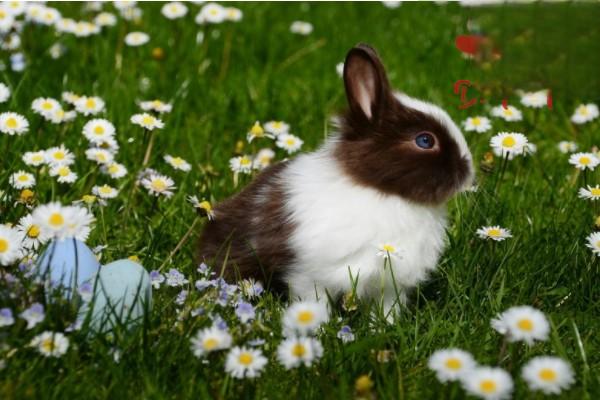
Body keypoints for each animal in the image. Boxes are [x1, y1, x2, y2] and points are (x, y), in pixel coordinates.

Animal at [199, 43, 476, 318]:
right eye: (425, 140)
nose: (468, 172)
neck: (380, 191)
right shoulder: (309, 276)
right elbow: (313, 303)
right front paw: (317, 325)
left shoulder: (389, 286)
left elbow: (386, 309)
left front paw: (383, 326)